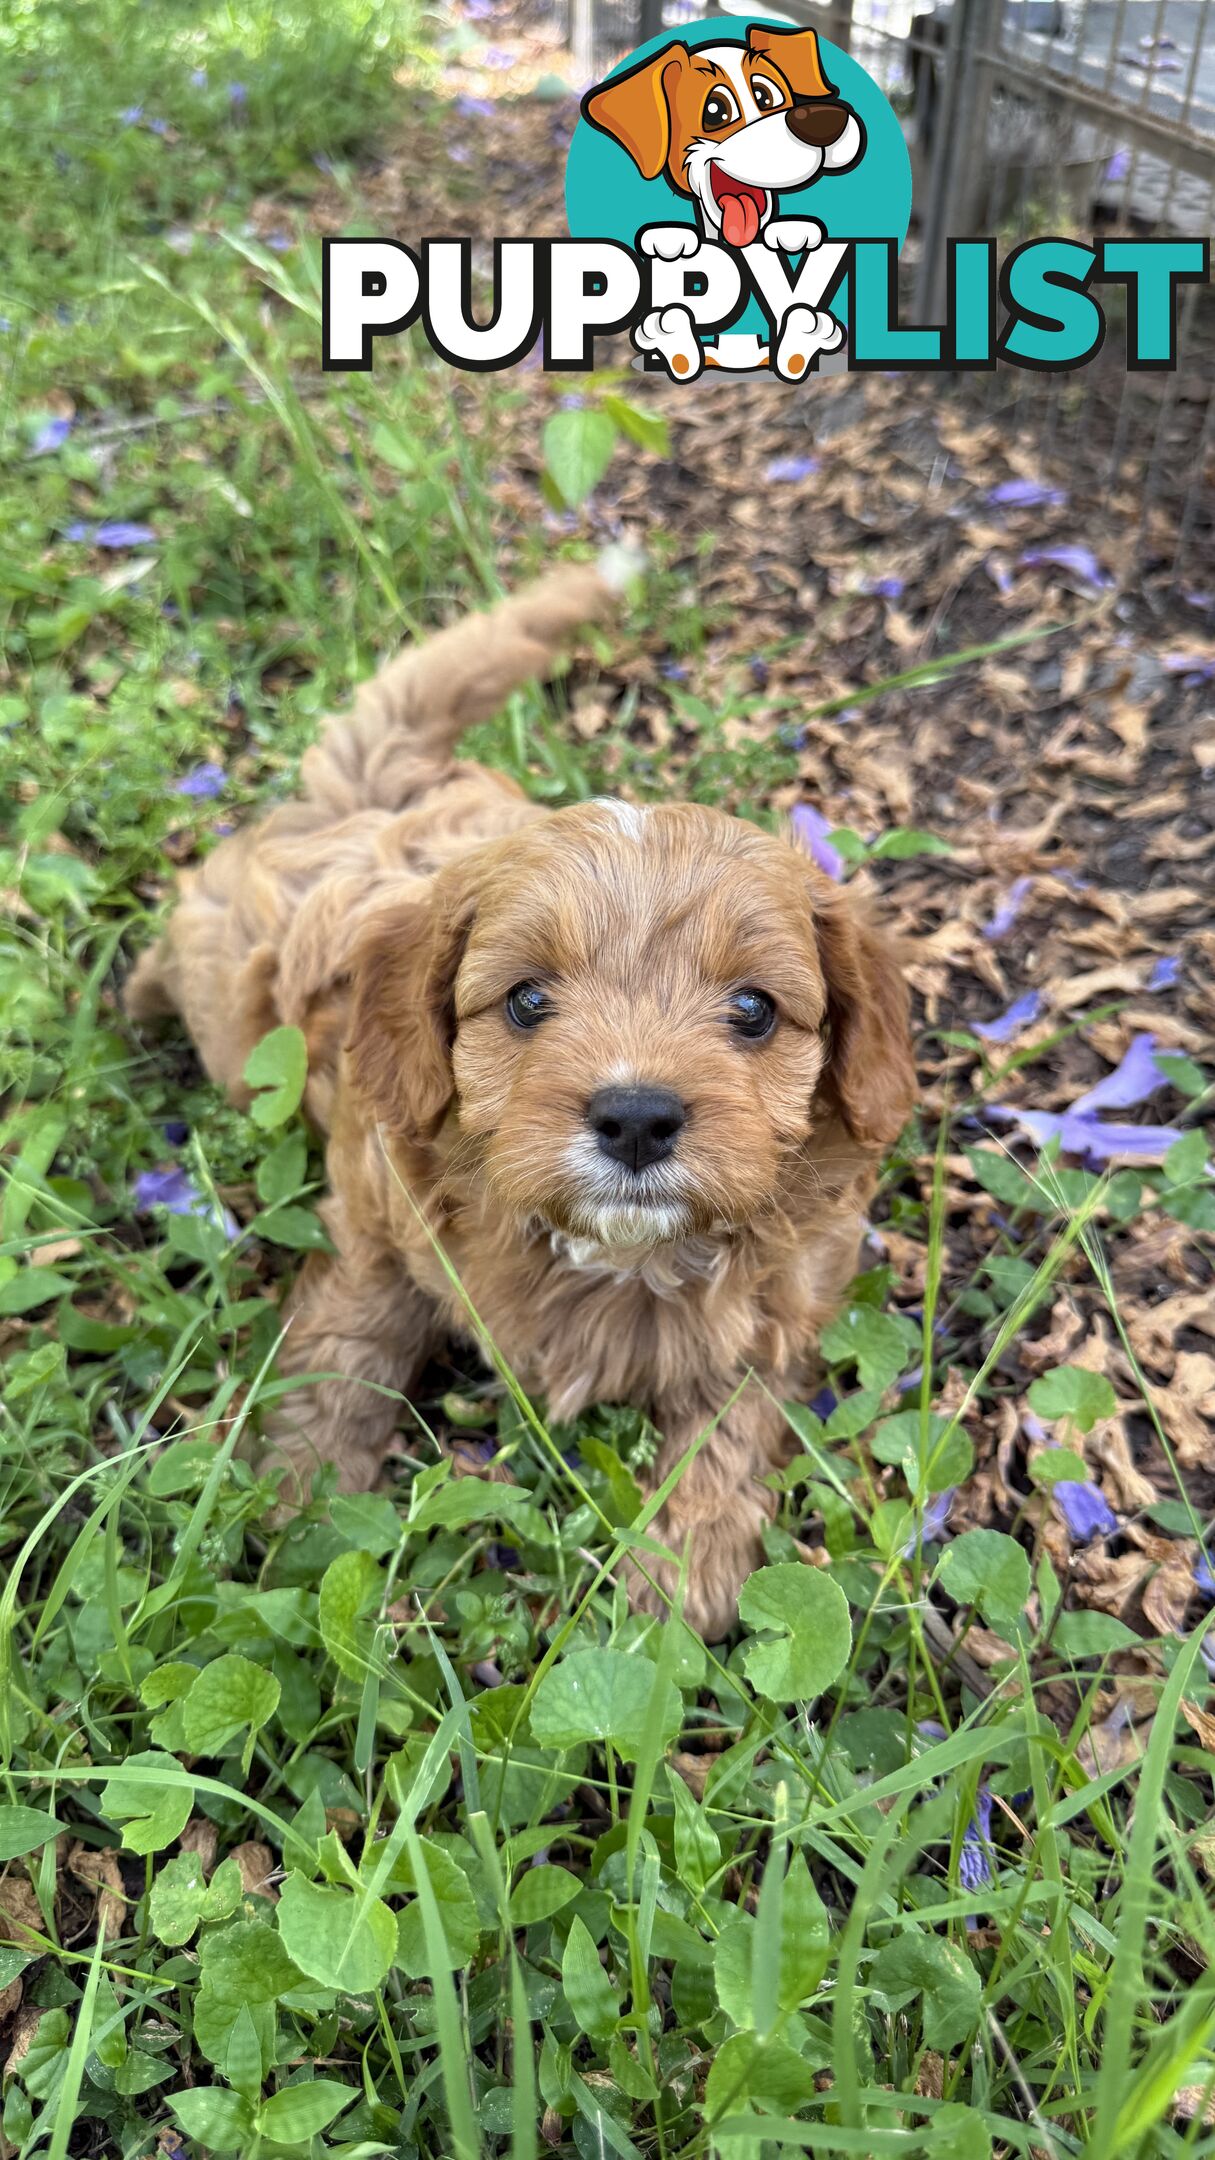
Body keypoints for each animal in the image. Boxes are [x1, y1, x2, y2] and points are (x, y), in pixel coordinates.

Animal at [130, 570, 908, 1632]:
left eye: (752, 1009)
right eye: (527, 1001)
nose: (635, 1118)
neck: (615, 1259)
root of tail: (378, 789)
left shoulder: (773, 1313)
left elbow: (724, 1432)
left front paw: (681, 1581)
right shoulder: (377, 1226)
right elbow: (347, 1357)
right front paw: (304, 1500)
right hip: (227, 1003)